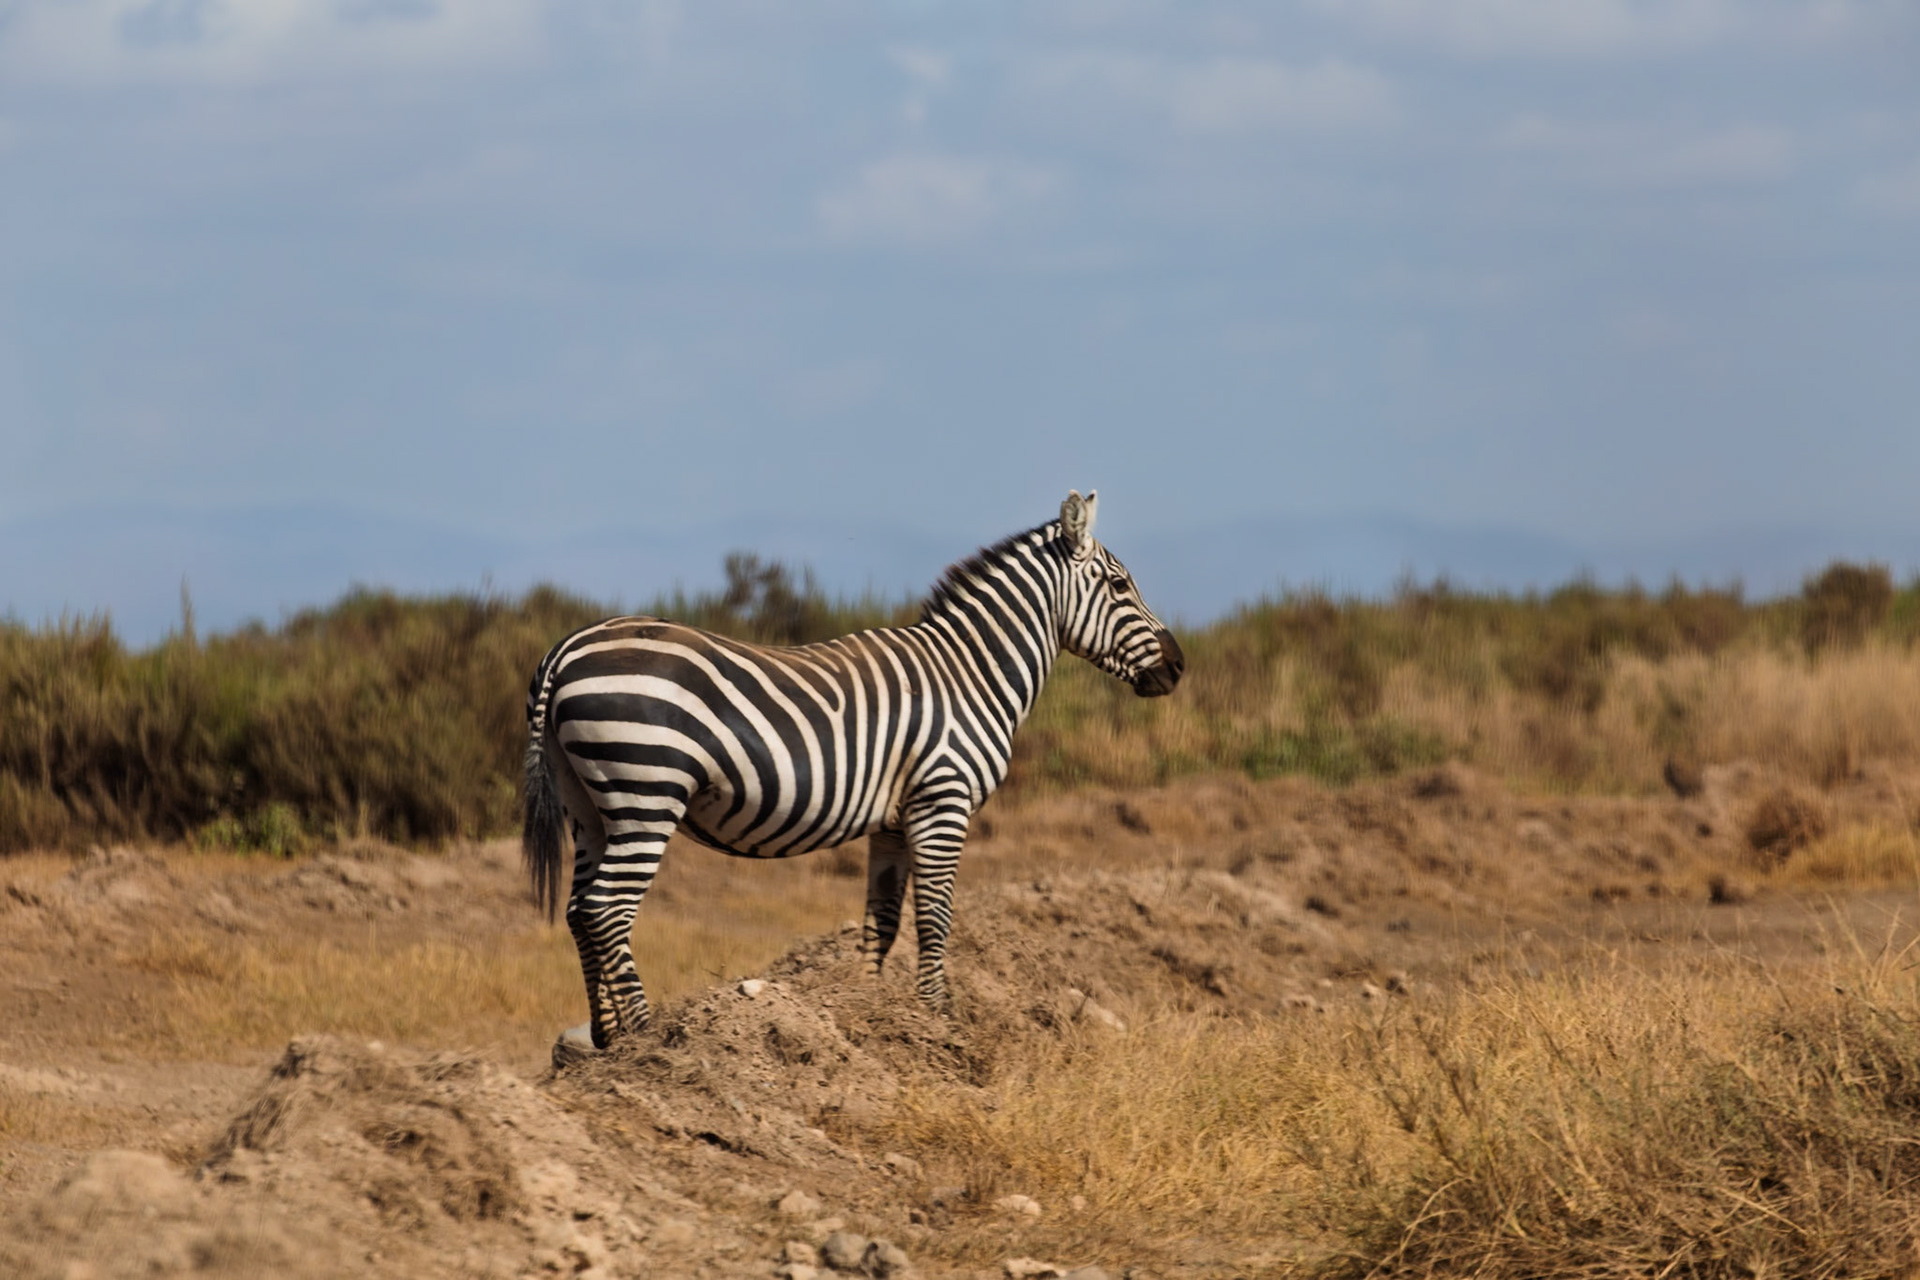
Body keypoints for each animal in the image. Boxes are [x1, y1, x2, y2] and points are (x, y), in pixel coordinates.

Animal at [522, 490, 1184, 1057]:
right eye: (1120, 584)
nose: (1177, 667)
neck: (972, 673)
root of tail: (566, 649)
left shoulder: (894, 820)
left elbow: (882, 923)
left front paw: (866, 1019)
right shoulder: (942, 801)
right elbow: (934, 918)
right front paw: (938, 1020)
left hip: (588, 805)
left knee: (578, 909)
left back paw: (607, 1039)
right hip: (648, 791)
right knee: (606, 909)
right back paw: (645, 1036)